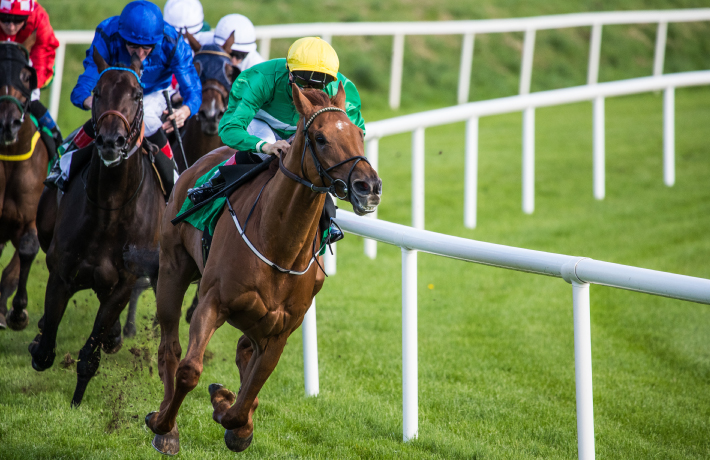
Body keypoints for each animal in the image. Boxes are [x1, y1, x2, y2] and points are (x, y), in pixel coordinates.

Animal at [29, 49, 165, 406]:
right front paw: (38, 340)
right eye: (98, 92)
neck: (110, 210)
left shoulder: (123, 284)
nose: (110, 141)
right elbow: (45, 348)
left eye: (138, 94)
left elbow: (91, 350)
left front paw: (77, 400)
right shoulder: (61, 272)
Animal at [144, 83, 384, 452]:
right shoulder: (212, 302)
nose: (368, 187)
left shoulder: (280, 328)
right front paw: (163, 423)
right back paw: (166, 429)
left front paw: (230, 412)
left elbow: (248, 395)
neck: (278, 245)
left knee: (244, 352)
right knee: (170, 348)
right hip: (173, 267)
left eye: (360, 133)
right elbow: (190, 371)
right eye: (320, 137)